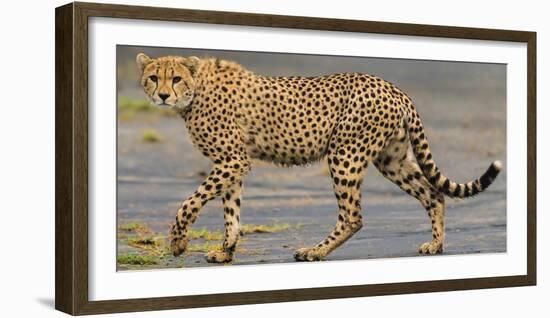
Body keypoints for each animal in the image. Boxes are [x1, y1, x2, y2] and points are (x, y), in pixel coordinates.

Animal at [136, 53, 502, 264]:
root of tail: (391, 86)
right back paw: (435, 245)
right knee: (433, 193)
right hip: (391, 159)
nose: (163, 95)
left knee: (353, 216)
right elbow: (231, 211)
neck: (195, 90)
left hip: (344, 154)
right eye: (154, 77)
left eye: (176, 78)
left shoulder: (233, 160)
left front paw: (178, 243)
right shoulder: (231, 163)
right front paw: (226, 250)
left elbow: (190, 202)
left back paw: (315, 251)